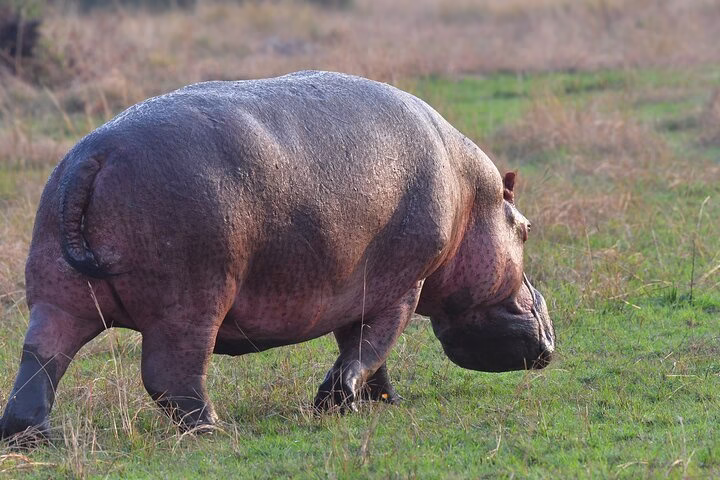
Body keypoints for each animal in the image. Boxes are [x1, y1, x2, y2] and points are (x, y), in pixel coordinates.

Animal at [0, 70, 554, 441]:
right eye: (526, 230)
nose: (551, 333)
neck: (473, 197)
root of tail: (95, 155)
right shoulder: (402, 286)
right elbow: (370, 348)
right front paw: (338, 404)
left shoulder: (357, 290)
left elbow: (364, 353)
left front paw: (380, 402)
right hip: (190, 304)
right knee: (170, 376)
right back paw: (216, 431)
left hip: (57, 297)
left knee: (40, 362)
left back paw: (31, 436)